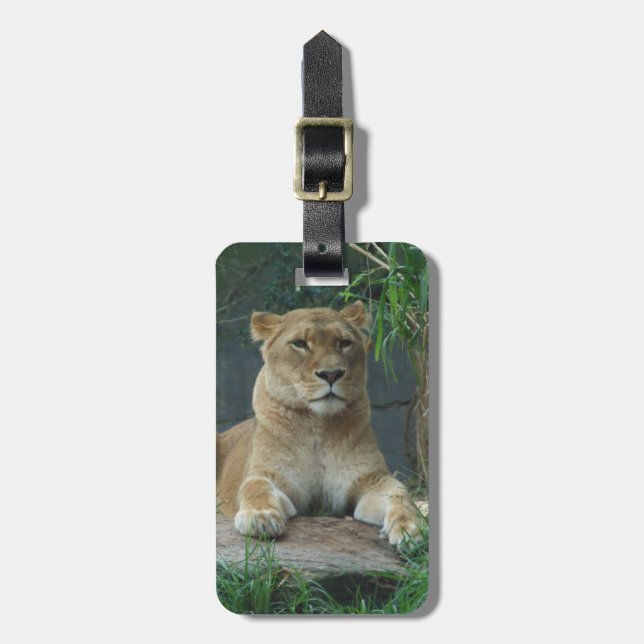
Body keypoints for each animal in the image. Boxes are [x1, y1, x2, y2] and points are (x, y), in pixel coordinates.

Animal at [216, 301, 419, 546]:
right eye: (300, 343)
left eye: (344, 343)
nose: (331, 374)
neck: (317, 424)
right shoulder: (269, 474)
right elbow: (256, 488)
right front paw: (260, 518)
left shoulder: (371, 479)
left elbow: (401, 495)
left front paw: (410, 528)